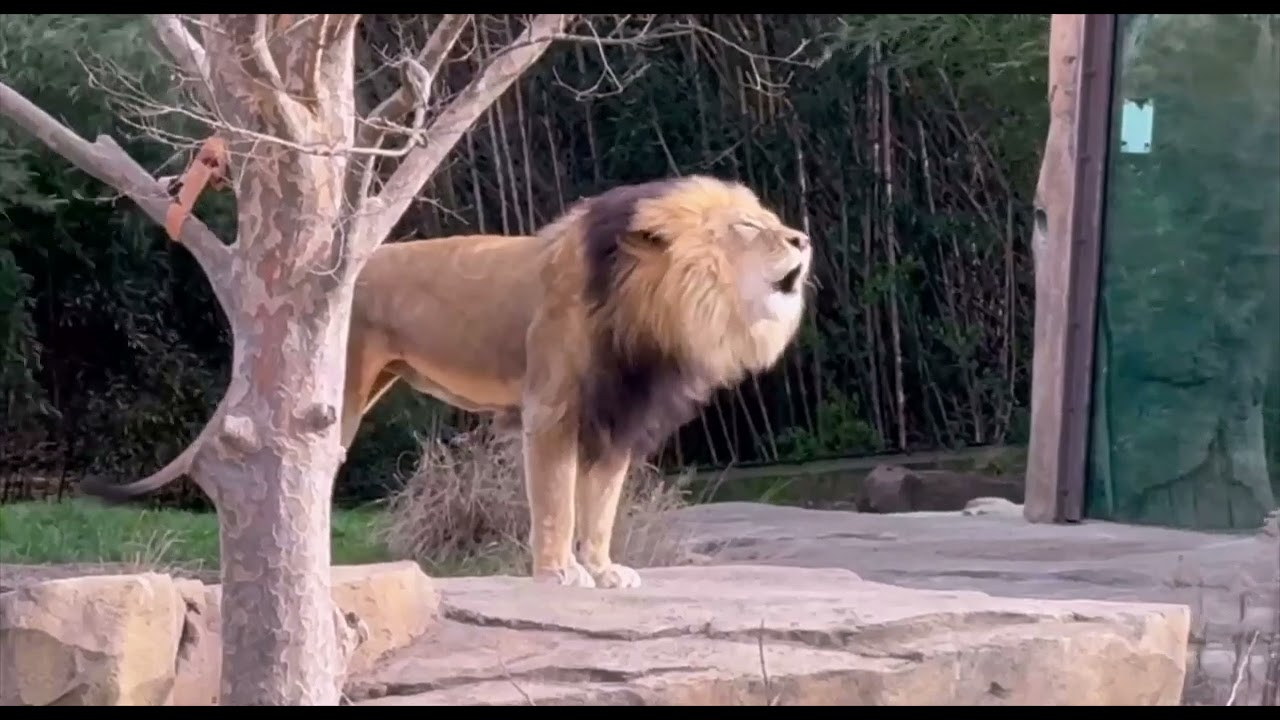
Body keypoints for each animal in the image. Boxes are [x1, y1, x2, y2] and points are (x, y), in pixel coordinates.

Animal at [81, 175, 814, 591]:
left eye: (769, 221)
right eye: (747, 227)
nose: (803, 239)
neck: (657, 311)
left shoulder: (616, 422)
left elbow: (599, 508)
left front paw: (604, 569)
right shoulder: (551, 413)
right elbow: (557, 502)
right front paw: (560, 573)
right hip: (336, 392)